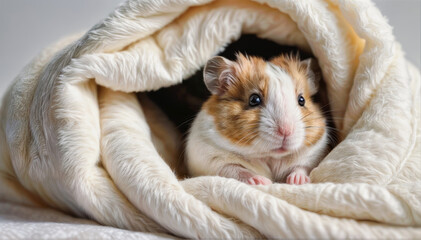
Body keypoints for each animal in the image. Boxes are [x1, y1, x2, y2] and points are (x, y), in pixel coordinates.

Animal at [186, 54, 328, 186]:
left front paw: (297, 181)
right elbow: (235, 170)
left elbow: (302, 167)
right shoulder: (212, 160)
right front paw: (263, 181)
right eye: (254, 99)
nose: (286, 131)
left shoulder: (313, 155)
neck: (270, 157)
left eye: (301, 100)